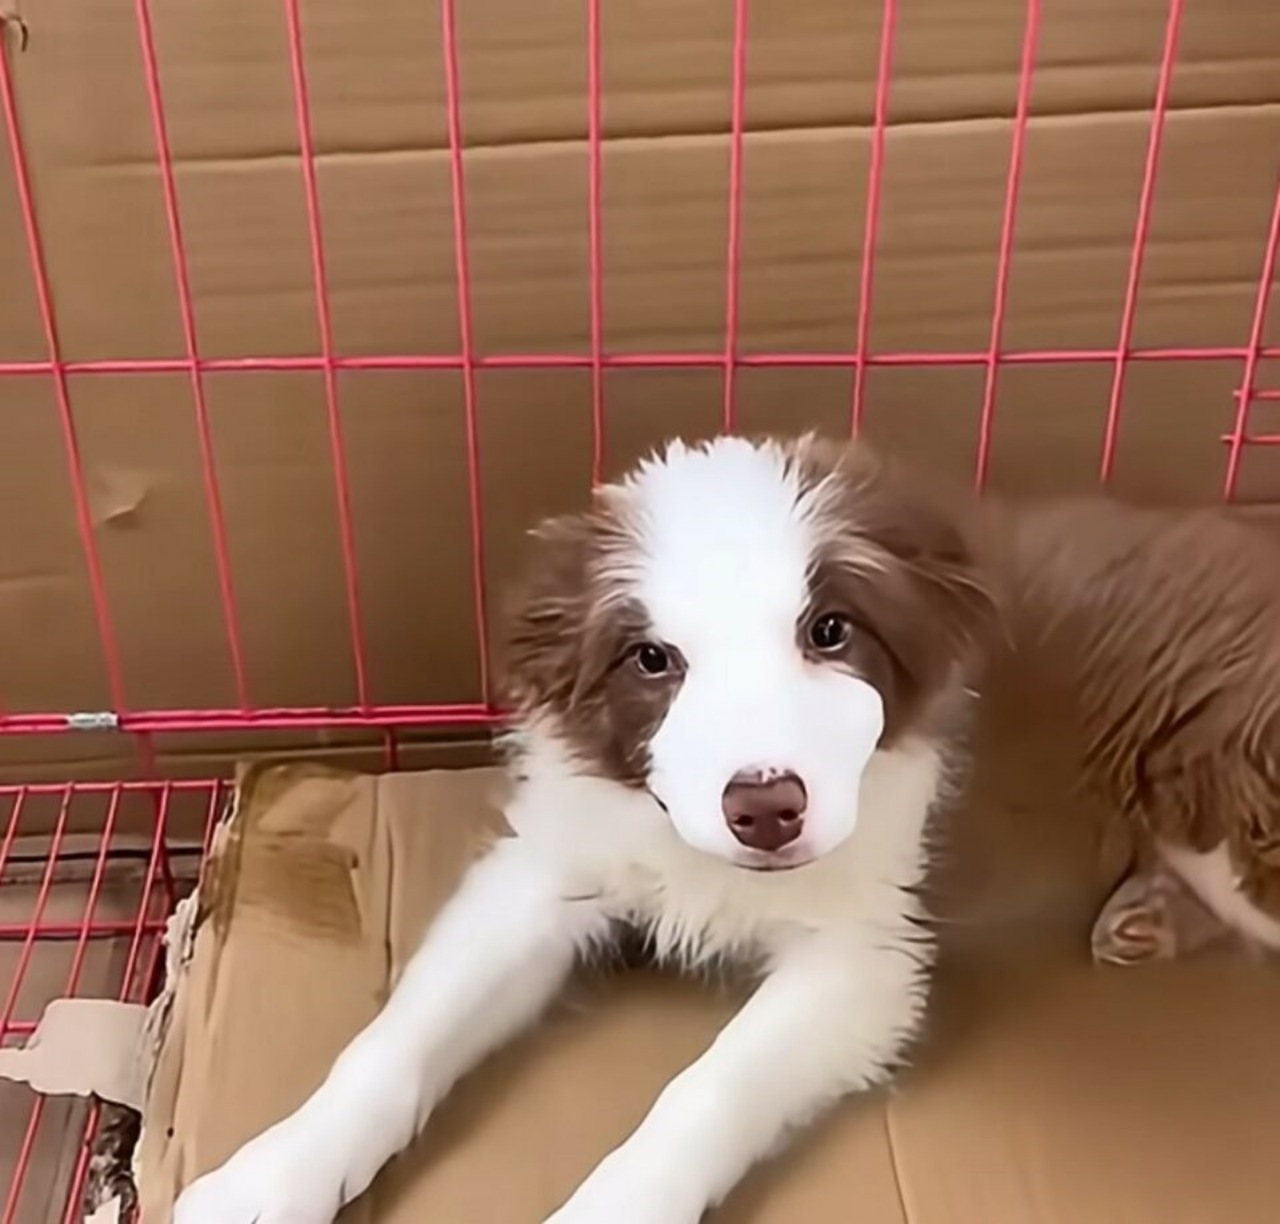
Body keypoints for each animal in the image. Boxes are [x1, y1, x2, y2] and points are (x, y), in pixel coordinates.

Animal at [172, 432, 988, 1224]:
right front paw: (275, 1172)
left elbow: (707, 1089)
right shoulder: (545, 871)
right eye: (652, 658)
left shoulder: (865, 952)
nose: (765, 811)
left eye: (829, 630)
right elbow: (399, 1034)